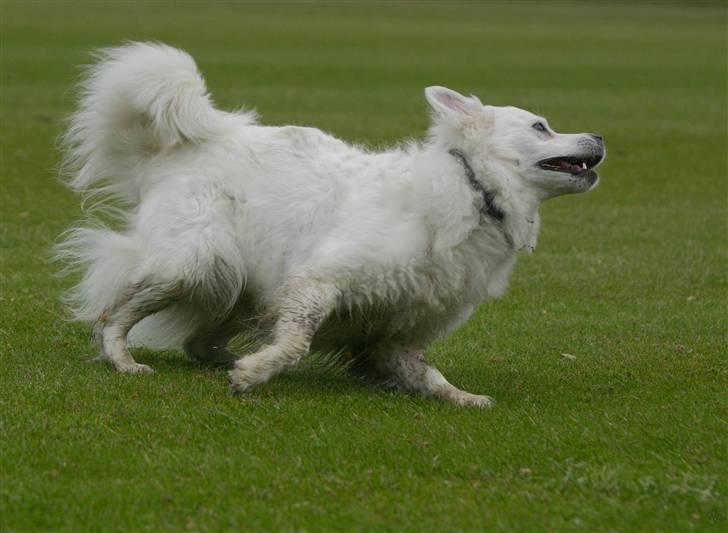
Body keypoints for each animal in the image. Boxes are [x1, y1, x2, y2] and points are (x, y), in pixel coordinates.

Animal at [55, 42, 604, 408]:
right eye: (540, 126)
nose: (599, 135)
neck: (474, 188)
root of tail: (181, 149)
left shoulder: (397, 333)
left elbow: (428, 374)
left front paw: (463, 397)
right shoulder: (319, 281)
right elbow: (297, 341)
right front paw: (255, 374)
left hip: (241, 286)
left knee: (198, 340)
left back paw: (223, 358)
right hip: (191, 263)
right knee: (112, 315)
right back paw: (124, 360)